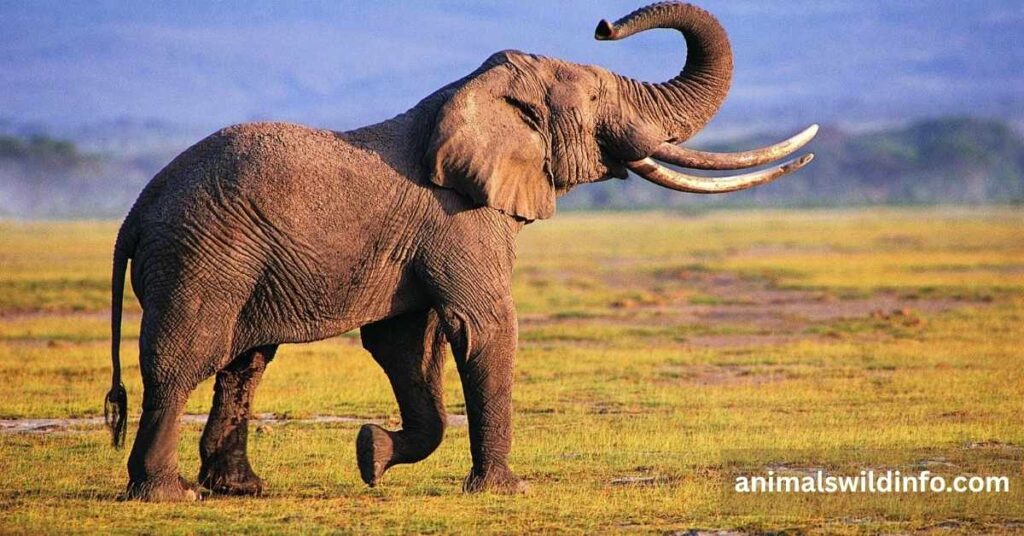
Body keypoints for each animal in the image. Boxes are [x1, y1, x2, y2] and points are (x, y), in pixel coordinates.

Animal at [103, 1, 817, 501]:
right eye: (595, 98)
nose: (604, 23)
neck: (473, 93)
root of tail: (136, 210)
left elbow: (405, 345)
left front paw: (371, 454)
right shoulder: (461, 220)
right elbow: (483, 327)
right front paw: (505, 489)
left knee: (245, 362)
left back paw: (241, 489)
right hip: (202, 253)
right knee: (185, 357)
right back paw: (167, 495)